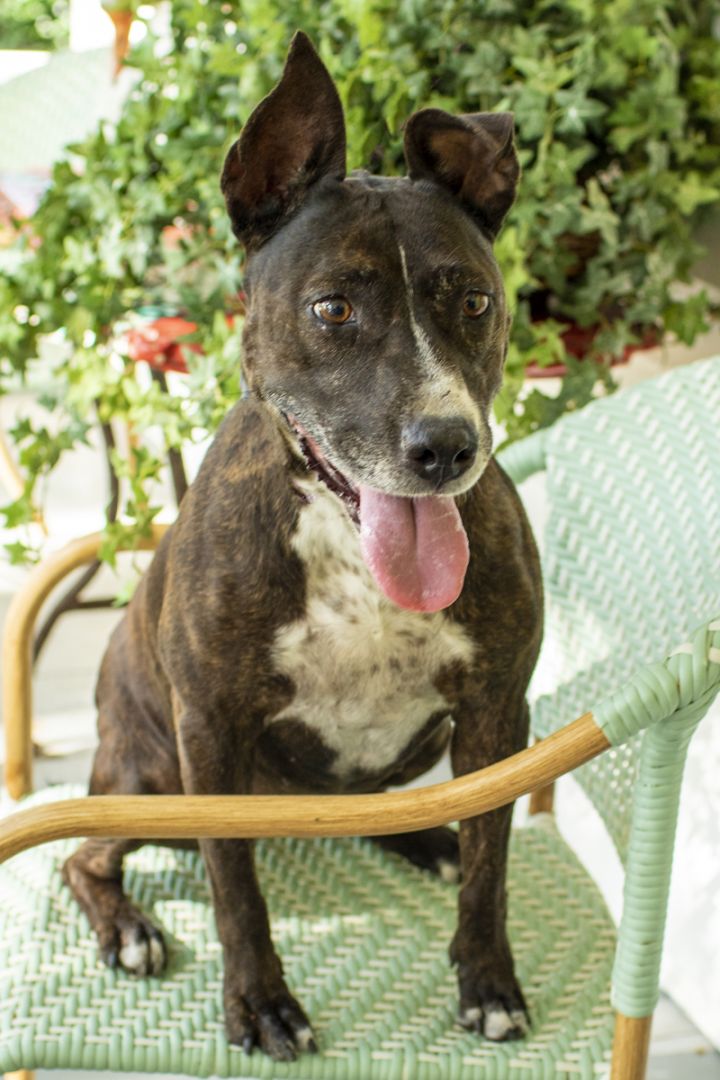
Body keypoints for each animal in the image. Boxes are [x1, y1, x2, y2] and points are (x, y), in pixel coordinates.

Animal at [64, 31, 544, 1062]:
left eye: (474, 302)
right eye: (332, 310)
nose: (446, 447)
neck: (352, 553)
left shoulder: (498, 716)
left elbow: (492, 863)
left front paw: (487, 980)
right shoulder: (209, 731)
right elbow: (235, 888)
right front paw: (260, 1004)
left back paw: (423, 839)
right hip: (151, 776)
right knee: (84, 858)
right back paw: (128, 928)